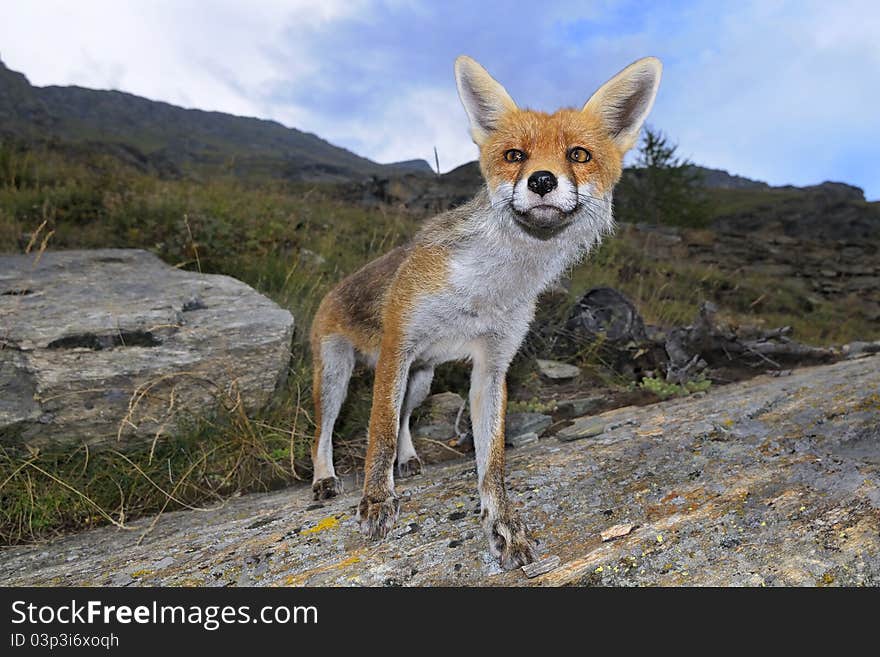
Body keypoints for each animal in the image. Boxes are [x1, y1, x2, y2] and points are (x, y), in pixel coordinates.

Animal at [310, 53, 660, 568]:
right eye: (515, 156)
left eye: (578, 155)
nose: (541, 181)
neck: (487, 286)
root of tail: (334, 289)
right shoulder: (398, 345)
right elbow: (378, 434)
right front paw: (376, 501)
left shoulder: (492, 367)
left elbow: (490, 462)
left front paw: (502, 525)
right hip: (338, 377)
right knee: (326, 429)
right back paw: (324, 479)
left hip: (421, 381)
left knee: (406, 420)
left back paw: (409, 460)